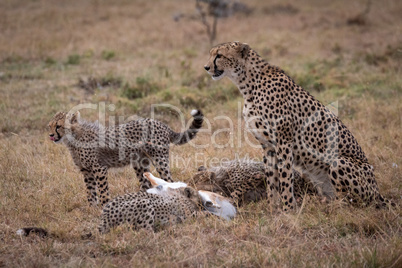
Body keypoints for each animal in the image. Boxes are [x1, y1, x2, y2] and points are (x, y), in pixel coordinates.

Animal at [48, 109, 204, 205]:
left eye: (59, 126)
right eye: (50, 126)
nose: (51, 135)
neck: (74, 137)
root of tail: (160, 123)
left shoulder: (99, 168)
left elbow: (102, 190)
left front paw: (104, 205)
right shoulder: (86, 171)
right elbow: (90, 191)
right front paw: (92, 208)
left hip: (160, 160)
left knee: (170, 181)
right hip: (139, 163)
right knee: (146, 183)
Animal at [204, 40, 390, 210]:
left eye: (219, 55)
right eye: (211, 54)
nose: (206, 67)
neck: (247, 83)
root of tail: (377, 192)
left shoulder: (284, 141)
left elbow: (285, 178)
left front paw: (288, 209)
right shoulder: (267, 145)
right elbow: (271, 179)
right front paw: (273, 208)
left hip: (340, 162)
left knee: (353, 203)